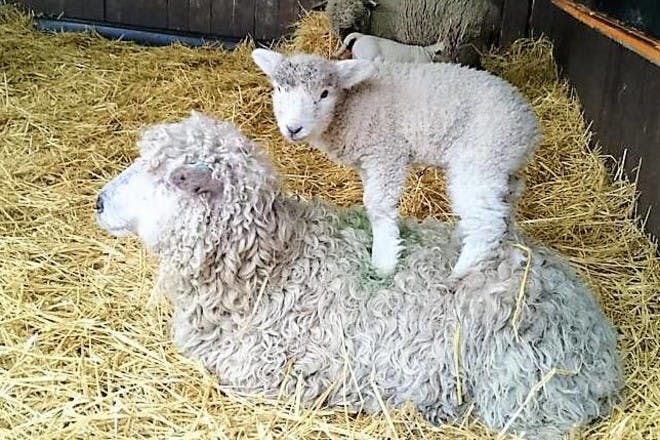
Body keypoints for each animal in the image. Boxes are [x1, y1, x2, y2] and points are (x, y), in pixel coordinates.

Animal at [250, 49, 540, 280]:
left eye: (324, 93)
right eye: (280, 89)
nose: (293, 128)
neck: (348, 107)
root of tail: (530, 126)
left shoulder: (386, 154)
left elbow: (378, 206)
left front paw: (384, 261)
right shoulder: (368, 164)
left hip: (479, 158)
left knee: (487, 221)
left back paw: (463, 271)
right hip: (499, 163)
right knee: (508, 199)